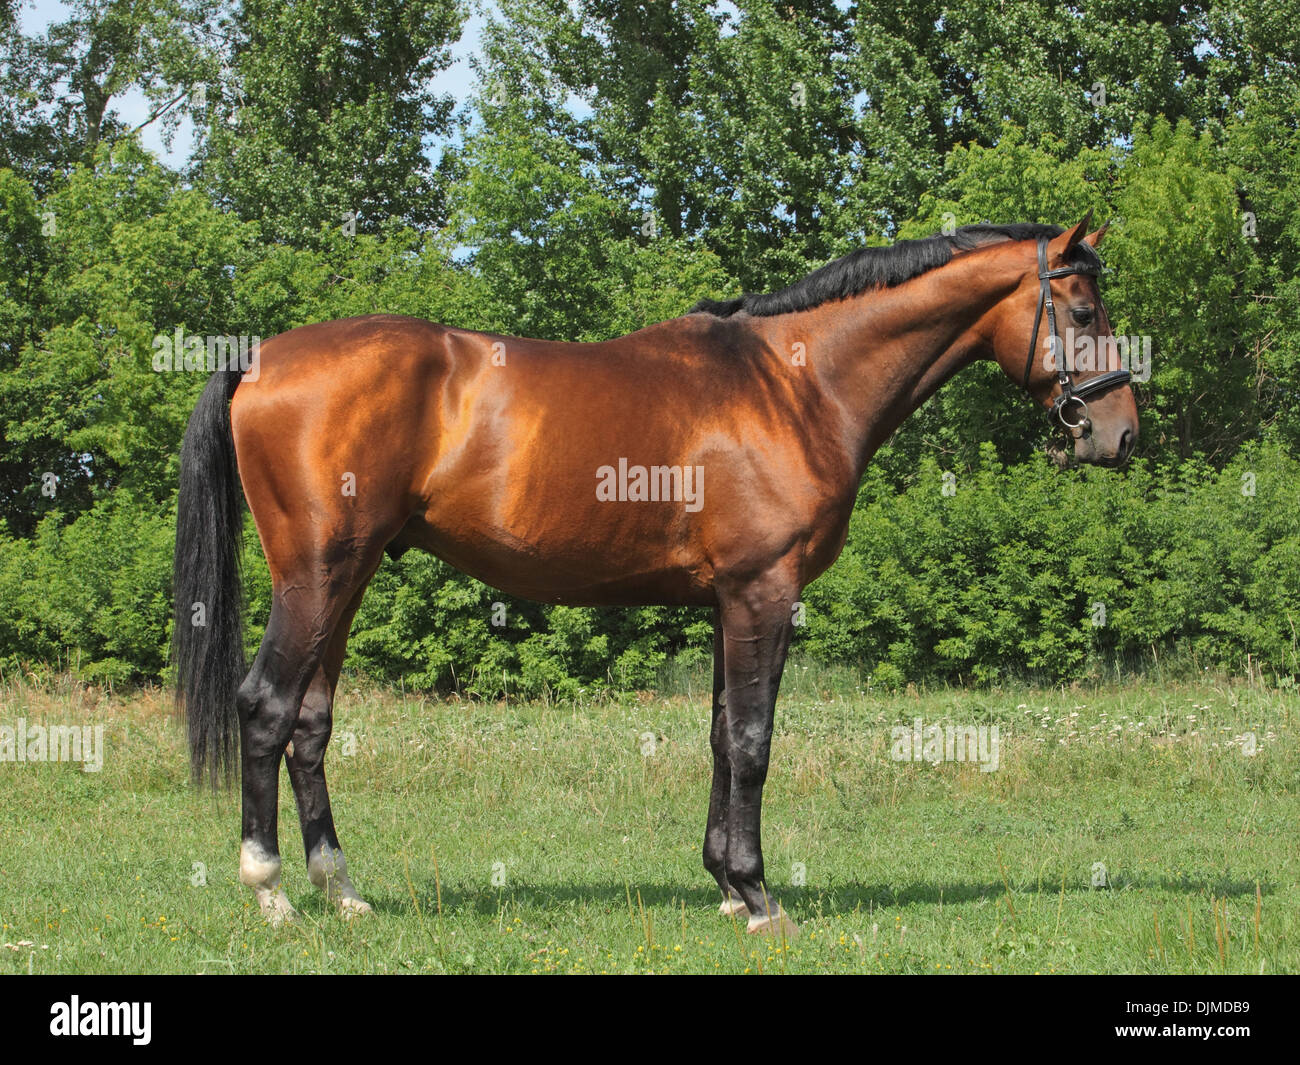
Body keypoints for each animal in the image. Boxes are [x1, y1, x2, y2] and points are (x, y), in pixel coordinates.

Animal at [175, 214, 1138, 931]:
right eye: (1084, 311)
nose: (1119, 432)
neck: (796, 385)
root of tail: (259, 357)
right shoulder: (762, 592)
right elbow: (751, 740)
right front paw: (759, 894)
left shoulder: (724, 602)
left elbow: (718, 734)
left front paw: (724, 884)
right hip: (317, 574)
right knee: (265, 706)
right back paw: (269, 888)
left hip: (350, 576)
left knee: (309, 723)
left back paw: (341, 890)